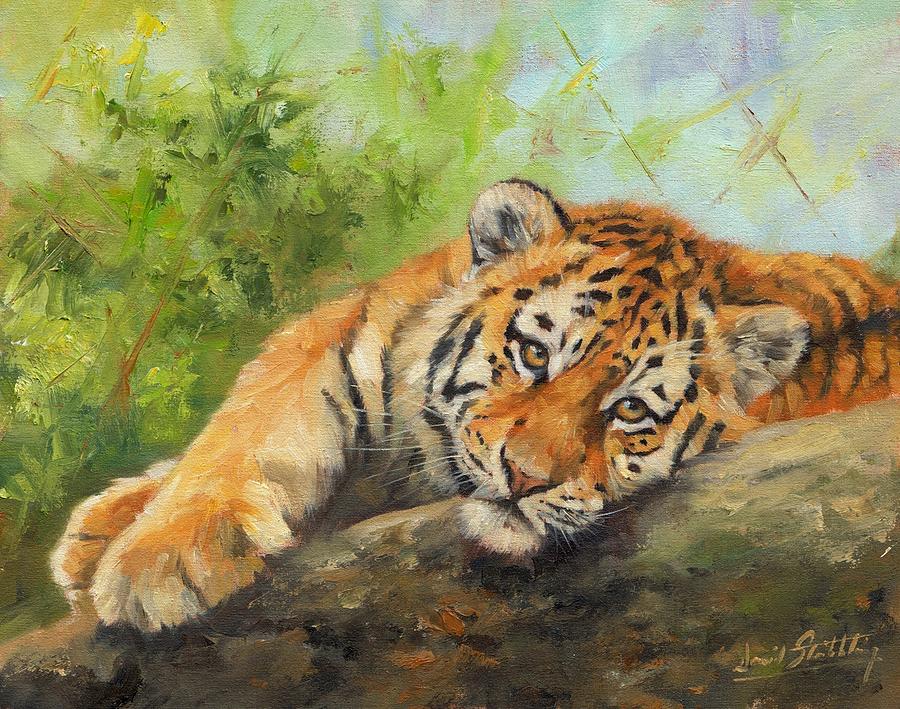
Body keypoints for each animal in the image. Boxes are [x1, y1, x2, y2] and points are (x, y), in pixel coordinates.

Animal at [51, 180, 899, 631]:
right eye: (534, 355)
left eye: (629, 412)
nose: (524, 477)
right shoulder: (342, 334)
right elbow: (248, 425)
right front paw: (149, 545)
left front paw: (141, 559)